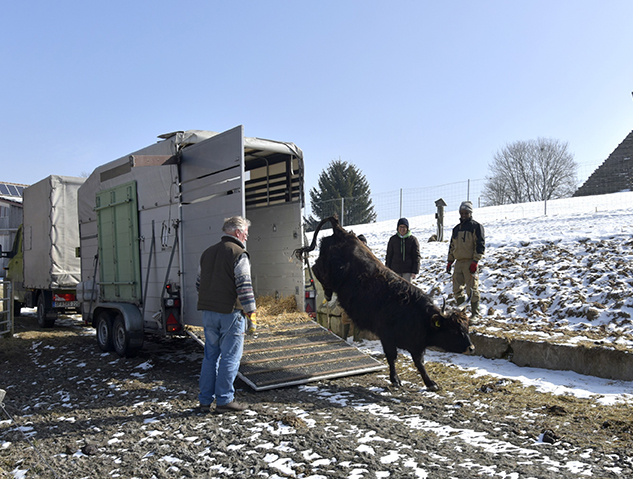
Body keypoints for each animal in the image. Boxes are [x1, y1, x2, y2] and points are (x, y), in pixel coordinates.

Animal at [296, 216, 474, 392]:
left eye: (466, 327)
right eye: (454, 329)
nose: (471, 348)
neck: (416, 314)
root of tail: (341, 230)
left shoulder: (415, 344)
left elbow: (419, 363)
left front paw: (430, 382)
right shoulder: (387, 336)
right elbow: (392, 357)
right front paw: (395, 379)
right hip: (328, 269)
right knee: (316, 268)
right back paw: (326, 292)